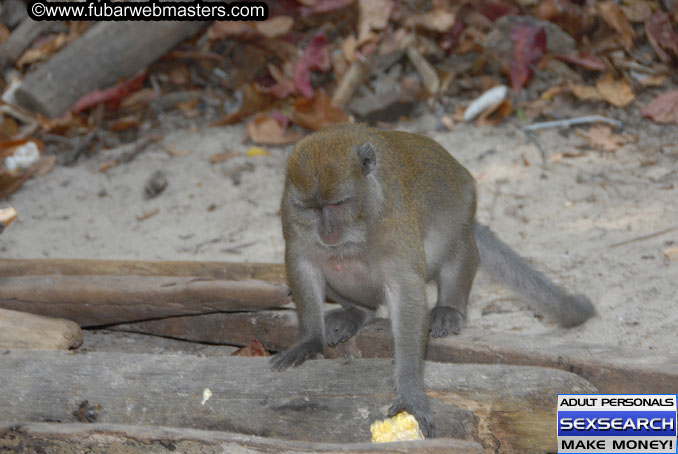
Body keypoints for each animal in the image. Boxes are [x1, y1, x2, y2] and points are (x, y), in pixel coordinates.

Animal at [270, 123, 596, 436]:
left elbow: (406, 292)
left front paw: (410, 391)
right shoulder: (290, 212)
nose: (327, 231)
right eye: (311, 208)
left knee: (456, 240)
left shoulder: (393, 219)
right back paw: (357, 312)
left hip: (460, 213)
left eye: (337, 204)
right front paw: (310, 341)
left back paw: (449, 308)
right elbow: (302, 265)